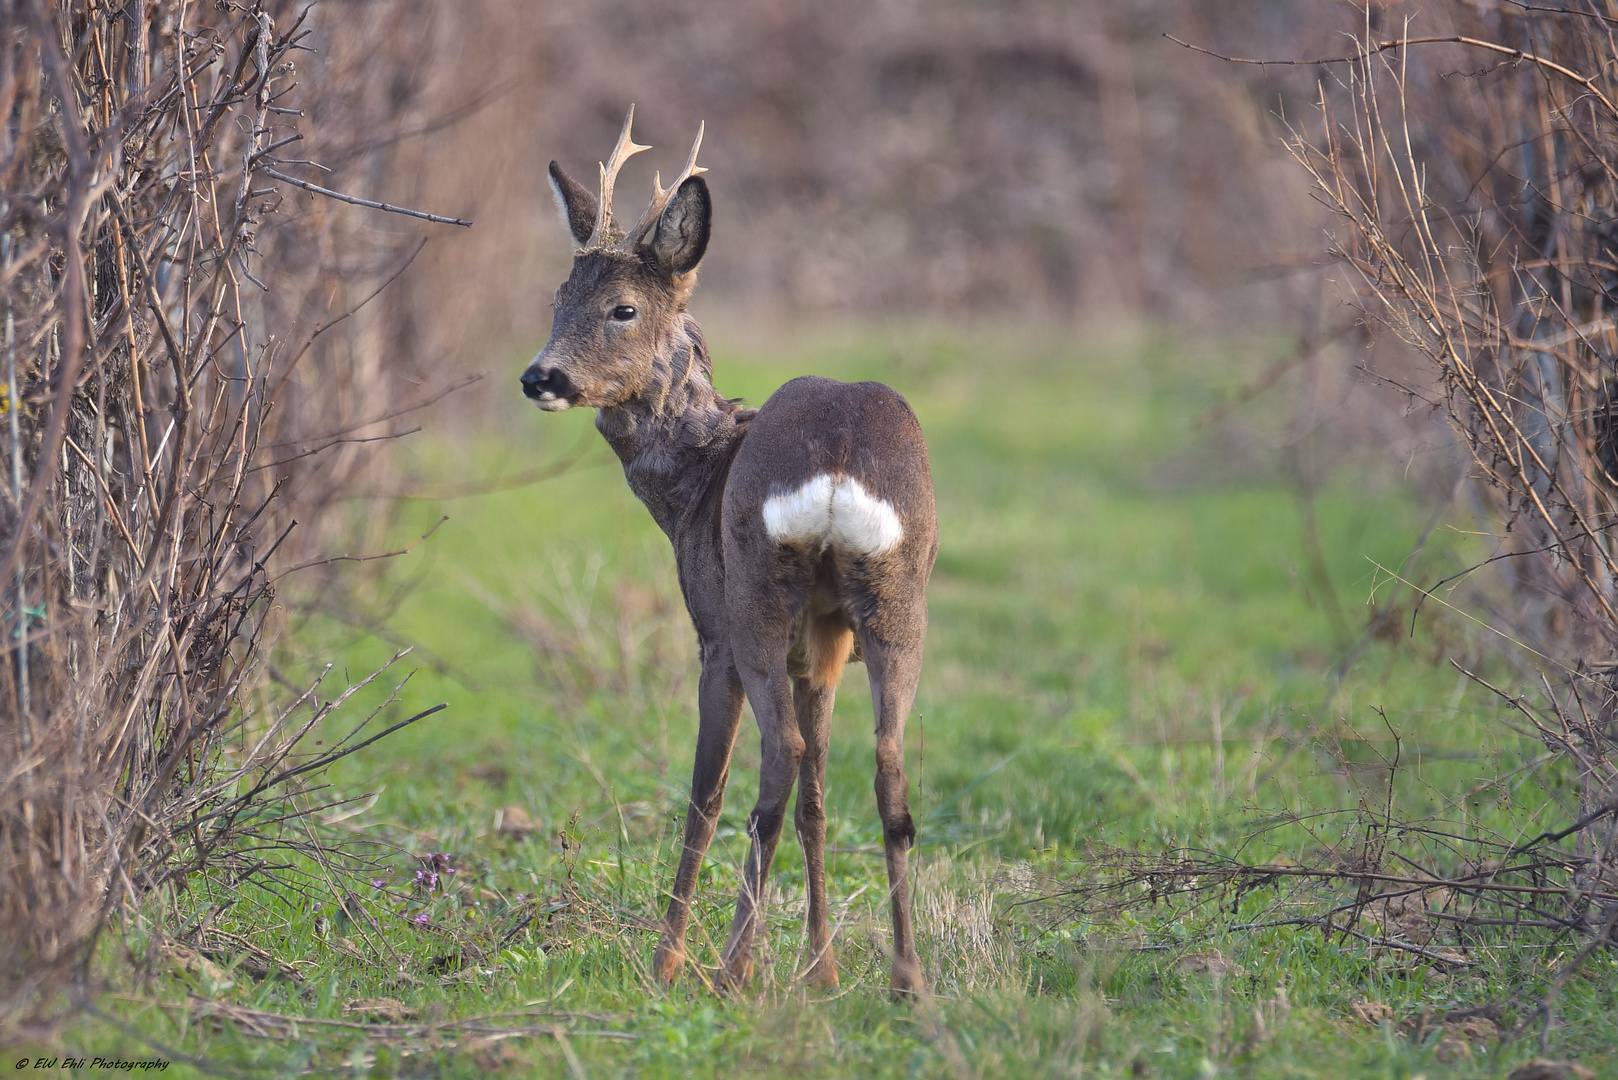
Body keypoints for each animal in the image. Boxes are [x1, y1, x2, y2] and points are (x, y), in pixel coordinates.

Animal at [520, 110, 938, 997]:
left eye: (623, 308)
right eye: (556, 299)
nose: (541, 377)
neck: (694, 482)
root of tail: (836, 463)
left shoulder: (710, 630)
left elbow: (704, 796)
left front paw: (666, 960)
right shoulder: (822, 651)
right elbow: (819, 799)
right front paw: (821, 969)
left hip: (755, 599)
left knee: (771, 767)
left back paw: (726, 967)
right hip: (895, 600)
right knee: (884, 771)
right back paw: (905, 979)